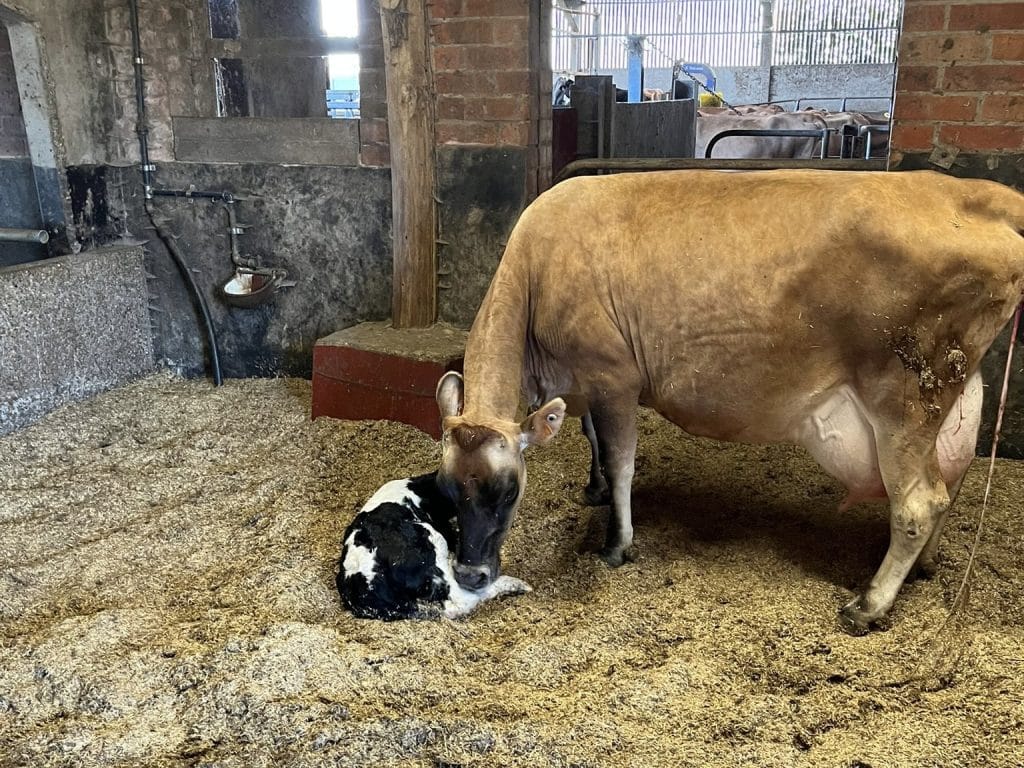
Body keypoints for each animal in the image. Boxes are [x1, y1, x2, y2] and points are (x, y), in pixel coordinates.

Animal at [434, 169, 1024, 635]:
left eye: (511, 491)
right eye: (446, 488)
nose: (469, 574)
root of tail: (969, 191)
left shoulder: (613, 376)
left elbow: (623, 461)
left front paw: (617, 543)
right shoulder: (585, 387)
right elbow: (593, 440)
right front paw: (594, 489)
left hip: (900, 397)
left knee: (918, 502)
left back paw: (869, 605)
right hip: (950, 394)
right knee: (951, 482)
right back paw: (925, 565)